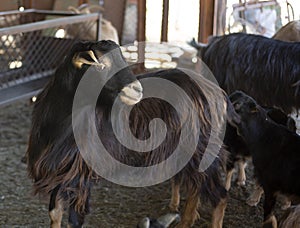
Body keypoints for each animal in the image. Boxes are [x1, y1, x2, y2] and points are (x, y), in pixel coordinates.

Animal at [25, 40, 232, 227]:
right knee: (197, 186)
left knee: (220, 195)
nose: (137, 90)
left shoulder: (80, 173)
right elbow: (55, 214)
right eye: (101, 65)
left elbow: (74, 220)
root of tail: (215, 92)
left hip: (201, 149)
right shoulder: (57, 172)